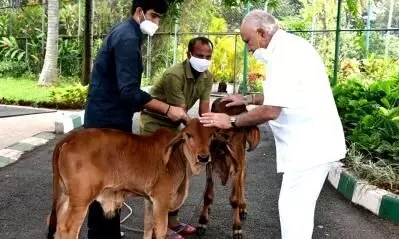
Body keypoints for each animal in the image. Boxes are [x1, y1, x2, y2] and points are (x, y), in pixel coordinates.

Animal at [47, 118, 219, 239]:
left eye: (211, 135)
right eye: (189, 135)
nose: (204, 157)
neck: (179, 158)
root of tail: (70, 138)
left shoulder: (150, 200)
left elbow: (148, 227)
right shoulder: (161, 200)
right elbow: (161, 231)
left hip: (64, 197)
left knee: (56, 225)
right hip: (81, 200)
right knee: (67, 229)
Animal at [198, 97, 262, 239]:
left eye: (240, 130)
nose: (222, 143)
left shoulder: (237, 165)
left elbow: (234, 198)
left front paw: (237, 228)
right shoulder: (210, 166)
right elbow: (208, 195)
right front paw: (202, 221)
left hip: (241, 160)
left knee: (243, 179)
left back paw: (242, 207)